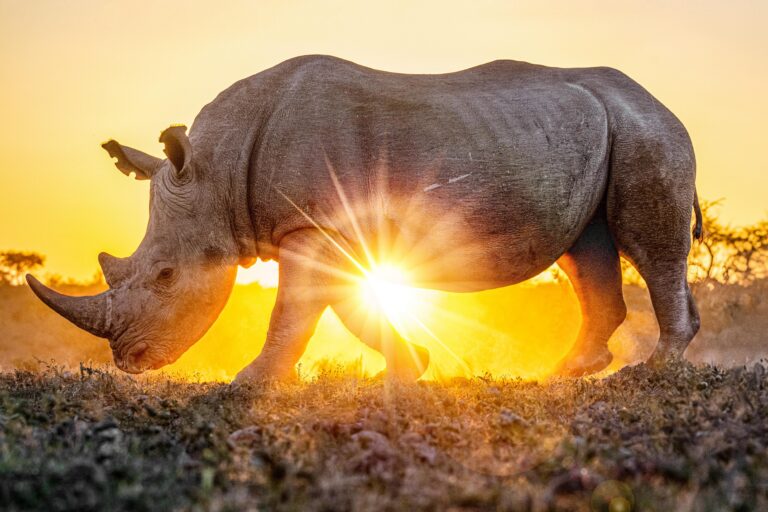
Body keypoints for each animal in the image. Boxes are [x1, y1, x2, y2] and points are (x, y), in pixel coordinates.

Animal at [27, 55, 702, 380]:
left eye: (166, 277)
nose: (128, 361)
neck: (218, 169)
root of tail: (657, 101)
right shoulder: (330, 228)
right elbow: (347, 306)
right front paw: (415, 363)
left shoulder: (312, 227)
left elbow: (295, 311)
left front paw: (248, 383)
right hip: (602, 129)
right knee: (589, 247)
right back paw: (568, 373)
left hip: (647, 129)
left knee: (647, 246)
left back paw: (645, 374)